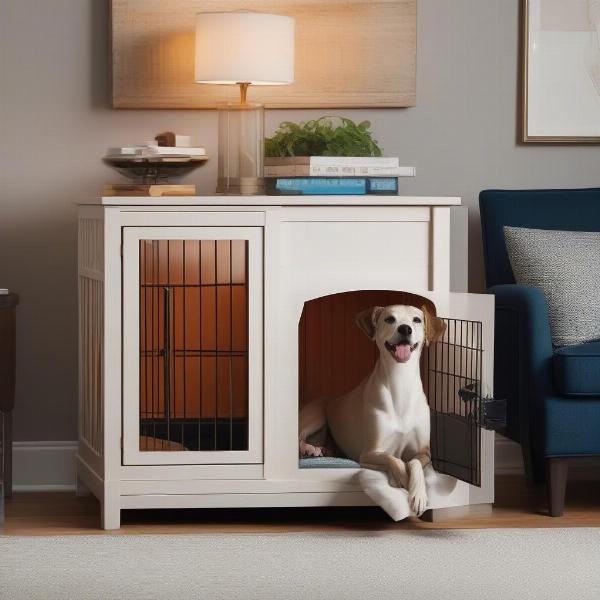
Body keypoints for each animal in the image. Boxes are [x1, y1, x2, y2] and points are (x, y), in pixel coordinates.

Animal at [298, 304, 446, 516]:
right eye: (390, 319)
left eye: (417, 320)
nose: (405, 329)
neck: (400, 382)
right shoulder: (368, 453)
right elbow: (394, 459)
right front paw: (402, 480)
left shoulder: (424, 452)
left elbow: (414, 463)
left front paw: (418, 494)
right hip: (317, 414)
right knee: (298, 437)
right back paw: (309, 448)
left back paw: (320, 448)